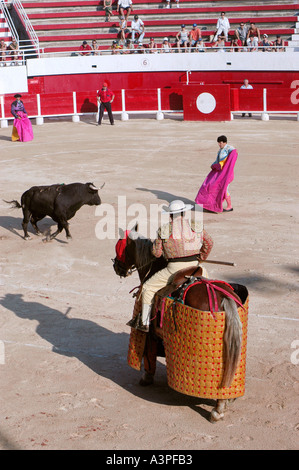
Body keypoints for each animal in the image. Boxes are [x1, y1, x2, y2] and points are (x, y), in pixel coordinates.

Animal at [112, 226, 248, 424]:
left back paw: (218, 410)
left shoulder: (151, 333)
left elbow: (149, 354)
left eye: (120, 248)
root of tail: (223, 296)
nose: (116, 266)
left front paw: (146, 378)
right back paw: (228, 399)